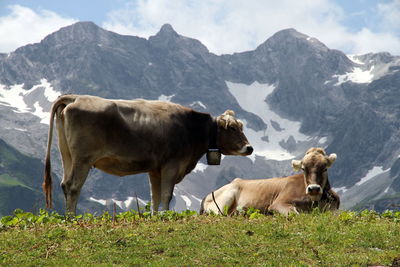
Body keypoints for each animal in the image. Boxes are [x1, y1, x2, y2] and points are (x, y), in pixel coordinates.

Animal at [43, 95, 253, 215]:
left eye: (241, 126)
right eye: (233, 128)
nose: (249, 148)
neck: (191, 127)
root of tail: (75, 97)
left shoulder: (155, 169)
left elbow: (155, 197)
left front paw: (154, 217)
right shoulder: (171, 165)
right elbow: (167, 195)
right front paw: (166, 216)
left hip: (67, 155)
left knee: (64, 184)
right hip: (82, 159)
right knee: (73, 186)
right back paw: (72, 218)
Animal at [202, 149, 340, 216]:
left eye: (325, 168)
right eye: (303, 168)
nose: (314, 188)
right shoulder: (278, 203)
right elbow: (295, 214)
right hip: (226, 197)